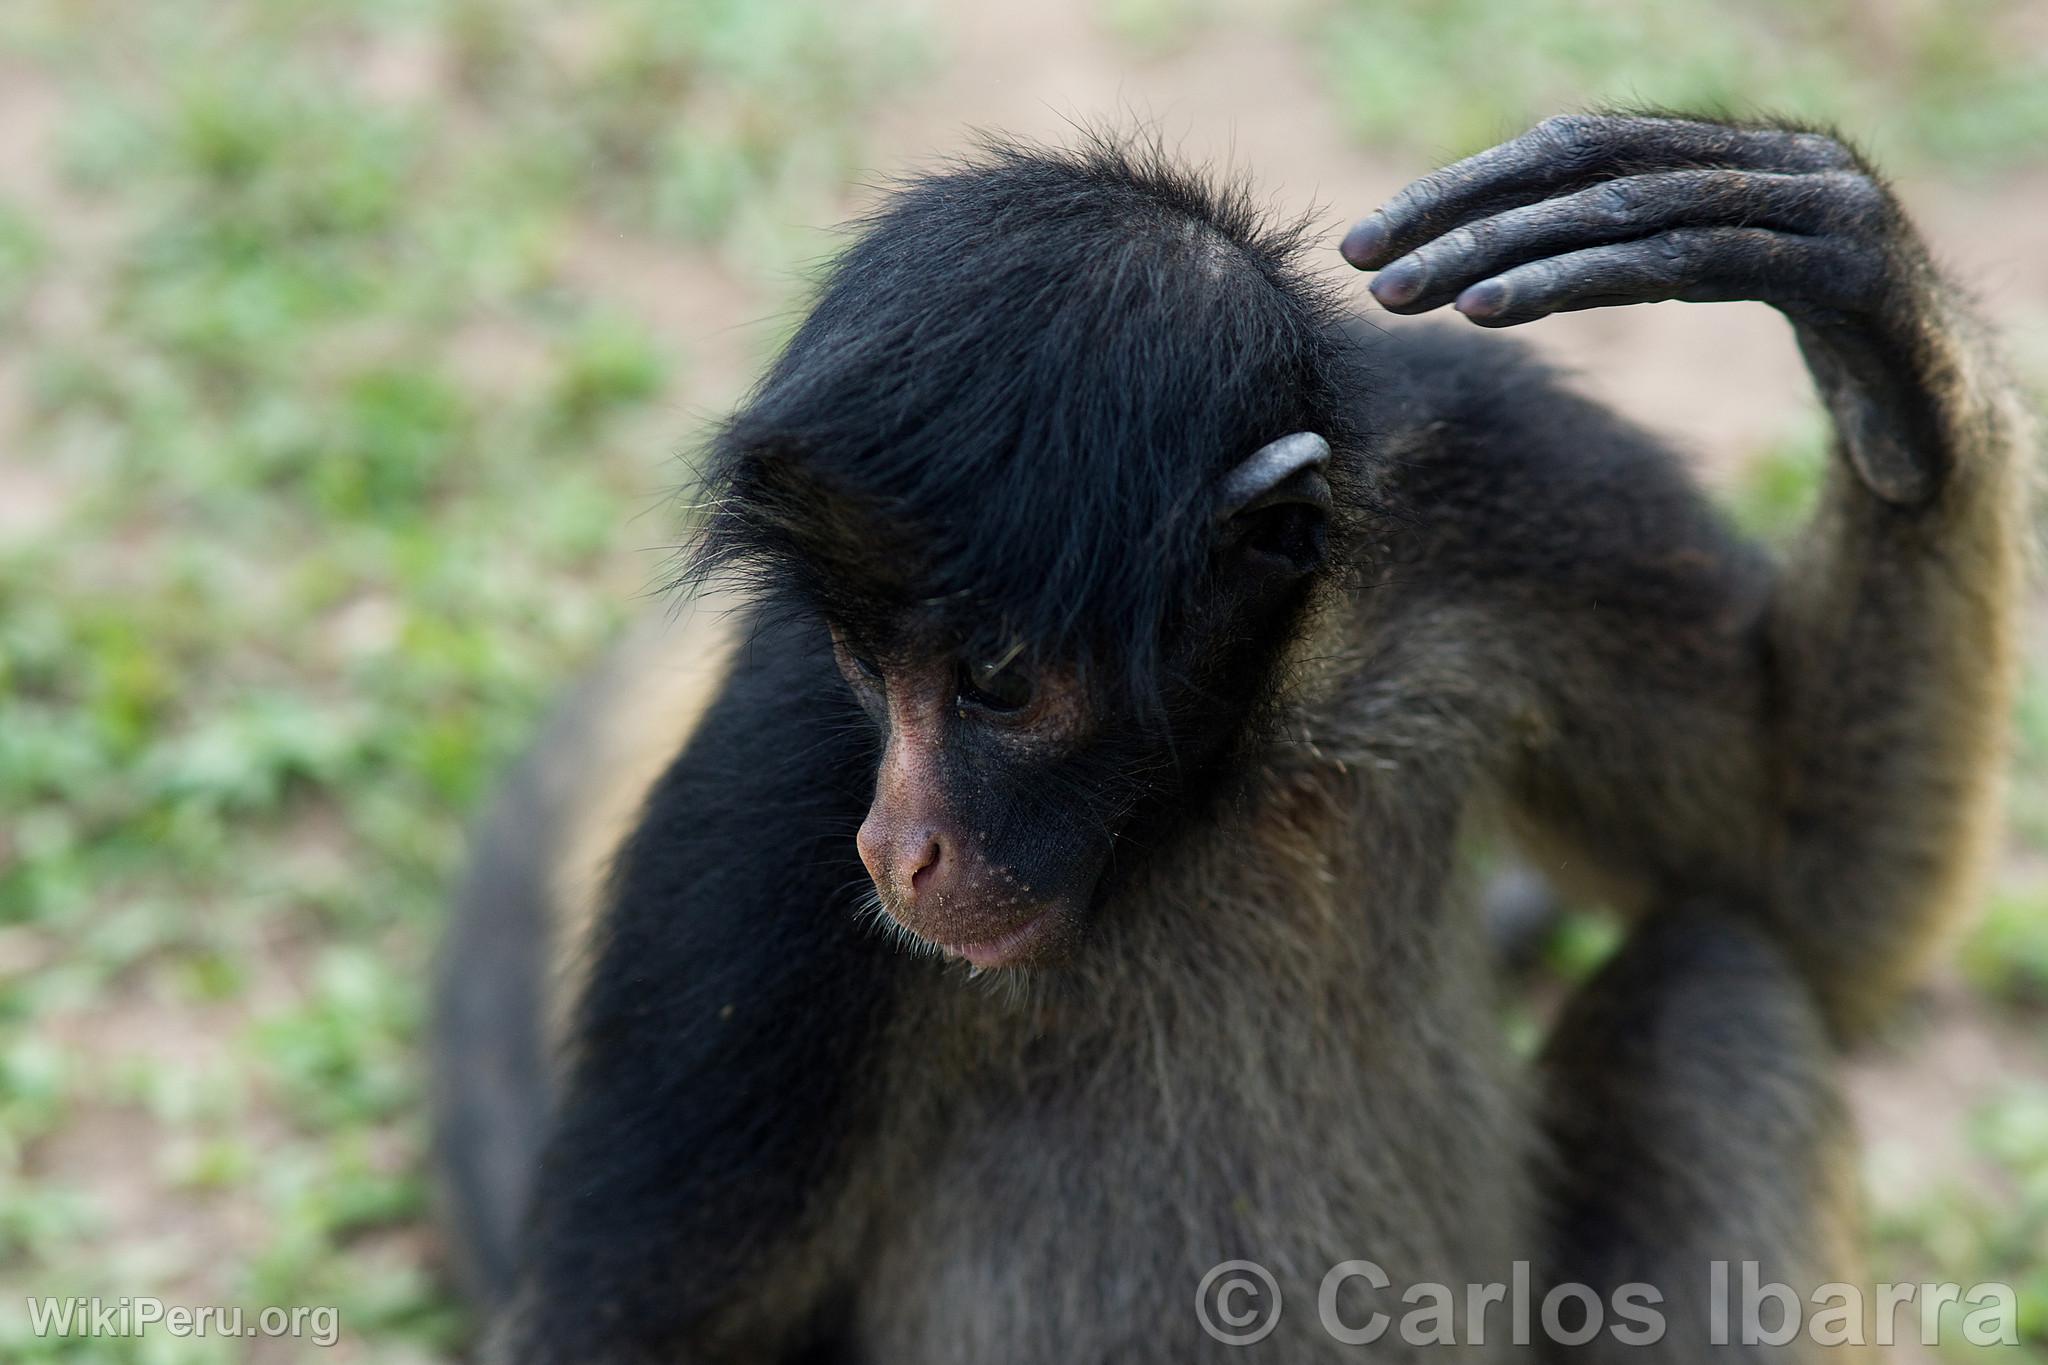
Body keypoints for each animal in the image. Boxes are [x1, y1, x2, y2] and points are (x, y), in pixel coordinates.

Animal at [432, 117, 2031, 1365]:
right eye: (862, 665)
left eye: (998, 684)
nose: (899, 844)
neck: (1241, 754)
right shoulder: (789, 776)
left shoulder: (1483, 474)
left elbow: (1804, 895)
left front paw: (1869, 318)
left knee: (1718, 980)